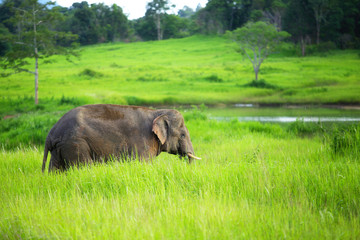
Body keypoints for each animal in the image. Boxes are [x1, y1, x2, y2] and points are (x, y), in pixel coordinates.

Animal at [42, 104, 201, 172]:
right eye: (182, 135)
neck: (157, 112)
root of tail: (51, 133)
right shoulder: (143, 141)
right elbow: (143, 164)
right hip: (75, 143)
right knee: (84, 167)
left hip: (59, 148)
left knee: (55, 169)